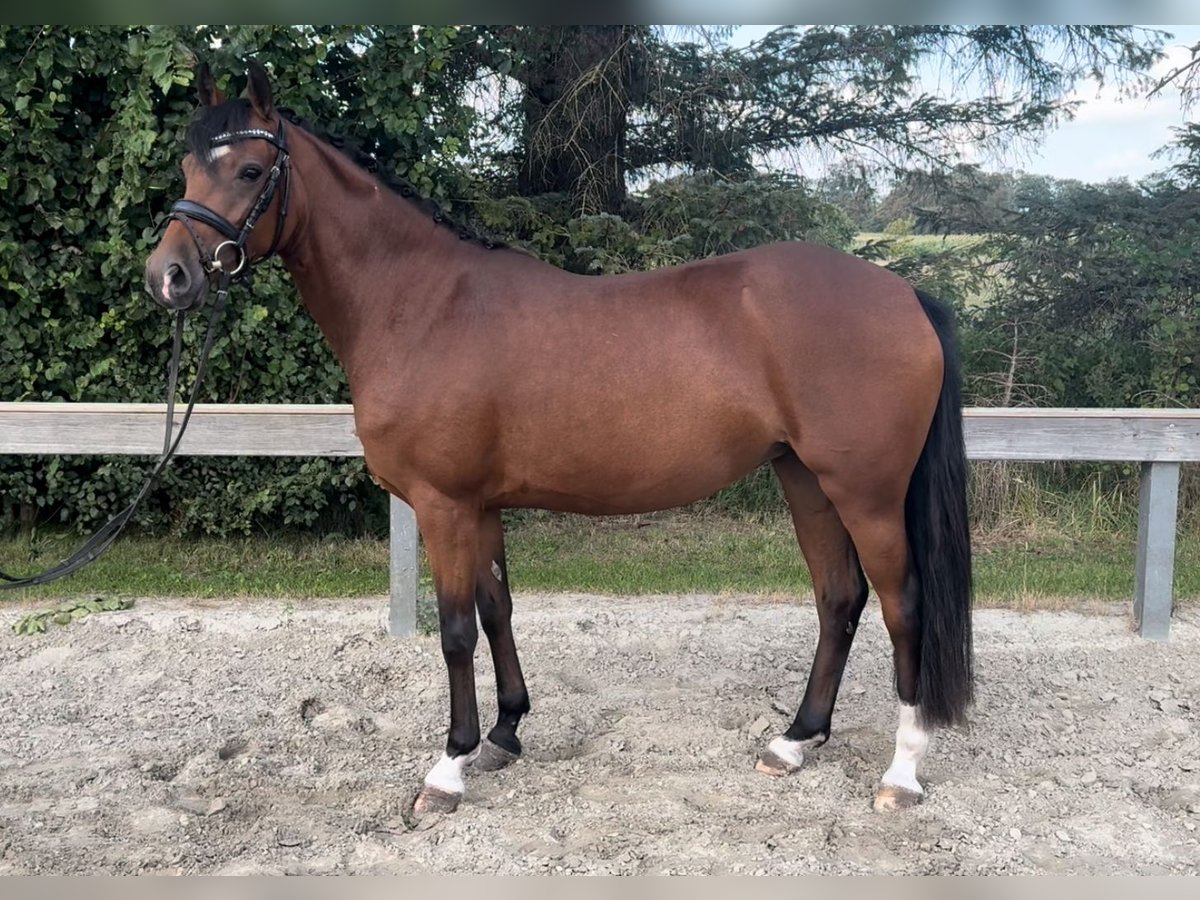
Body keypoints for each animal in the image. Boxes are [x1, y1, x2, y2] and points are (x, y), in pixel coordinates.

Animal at [145, 63, 969, 820]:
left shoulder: (443, 505)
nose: (168, 277)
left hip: (866, 492)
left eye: (250, 171)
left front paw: (448, 769)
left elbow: (454, 632)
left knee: (902, 607)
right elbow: (497, 611)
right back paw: (794, 741)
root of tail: (903, 293)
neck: (421, 305)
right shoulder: (479, 506)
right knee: (838, 598)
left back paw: (901, 772)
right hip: (804, 479)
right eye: (188, 168)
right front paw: (504, 734)